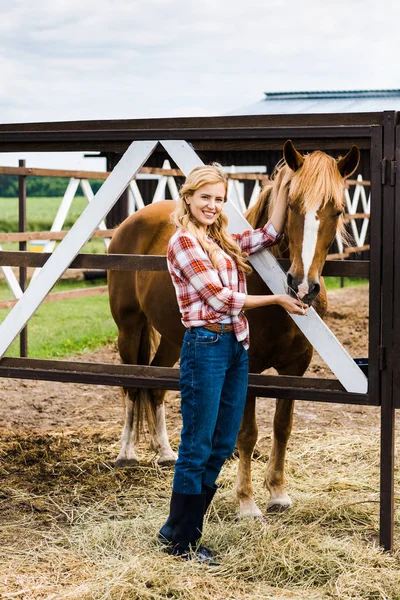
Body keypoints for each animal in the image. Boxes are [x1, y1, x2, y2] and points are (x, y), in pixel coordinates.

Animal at [107, 139, 360, 516]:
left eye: (339, 209)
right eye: (294, 205)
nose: (302, 287)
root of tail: (132, 222)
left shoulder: (296, 369)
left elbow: (282, 428)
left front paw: (279, 494)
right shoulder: (248, 368)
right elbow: (247, 433)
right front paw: (247, 502)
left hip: (172, 338)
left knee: (154, 388)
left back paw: (165, 453)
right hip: (129, 327)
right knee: (131, 385)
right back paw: (127, 453)